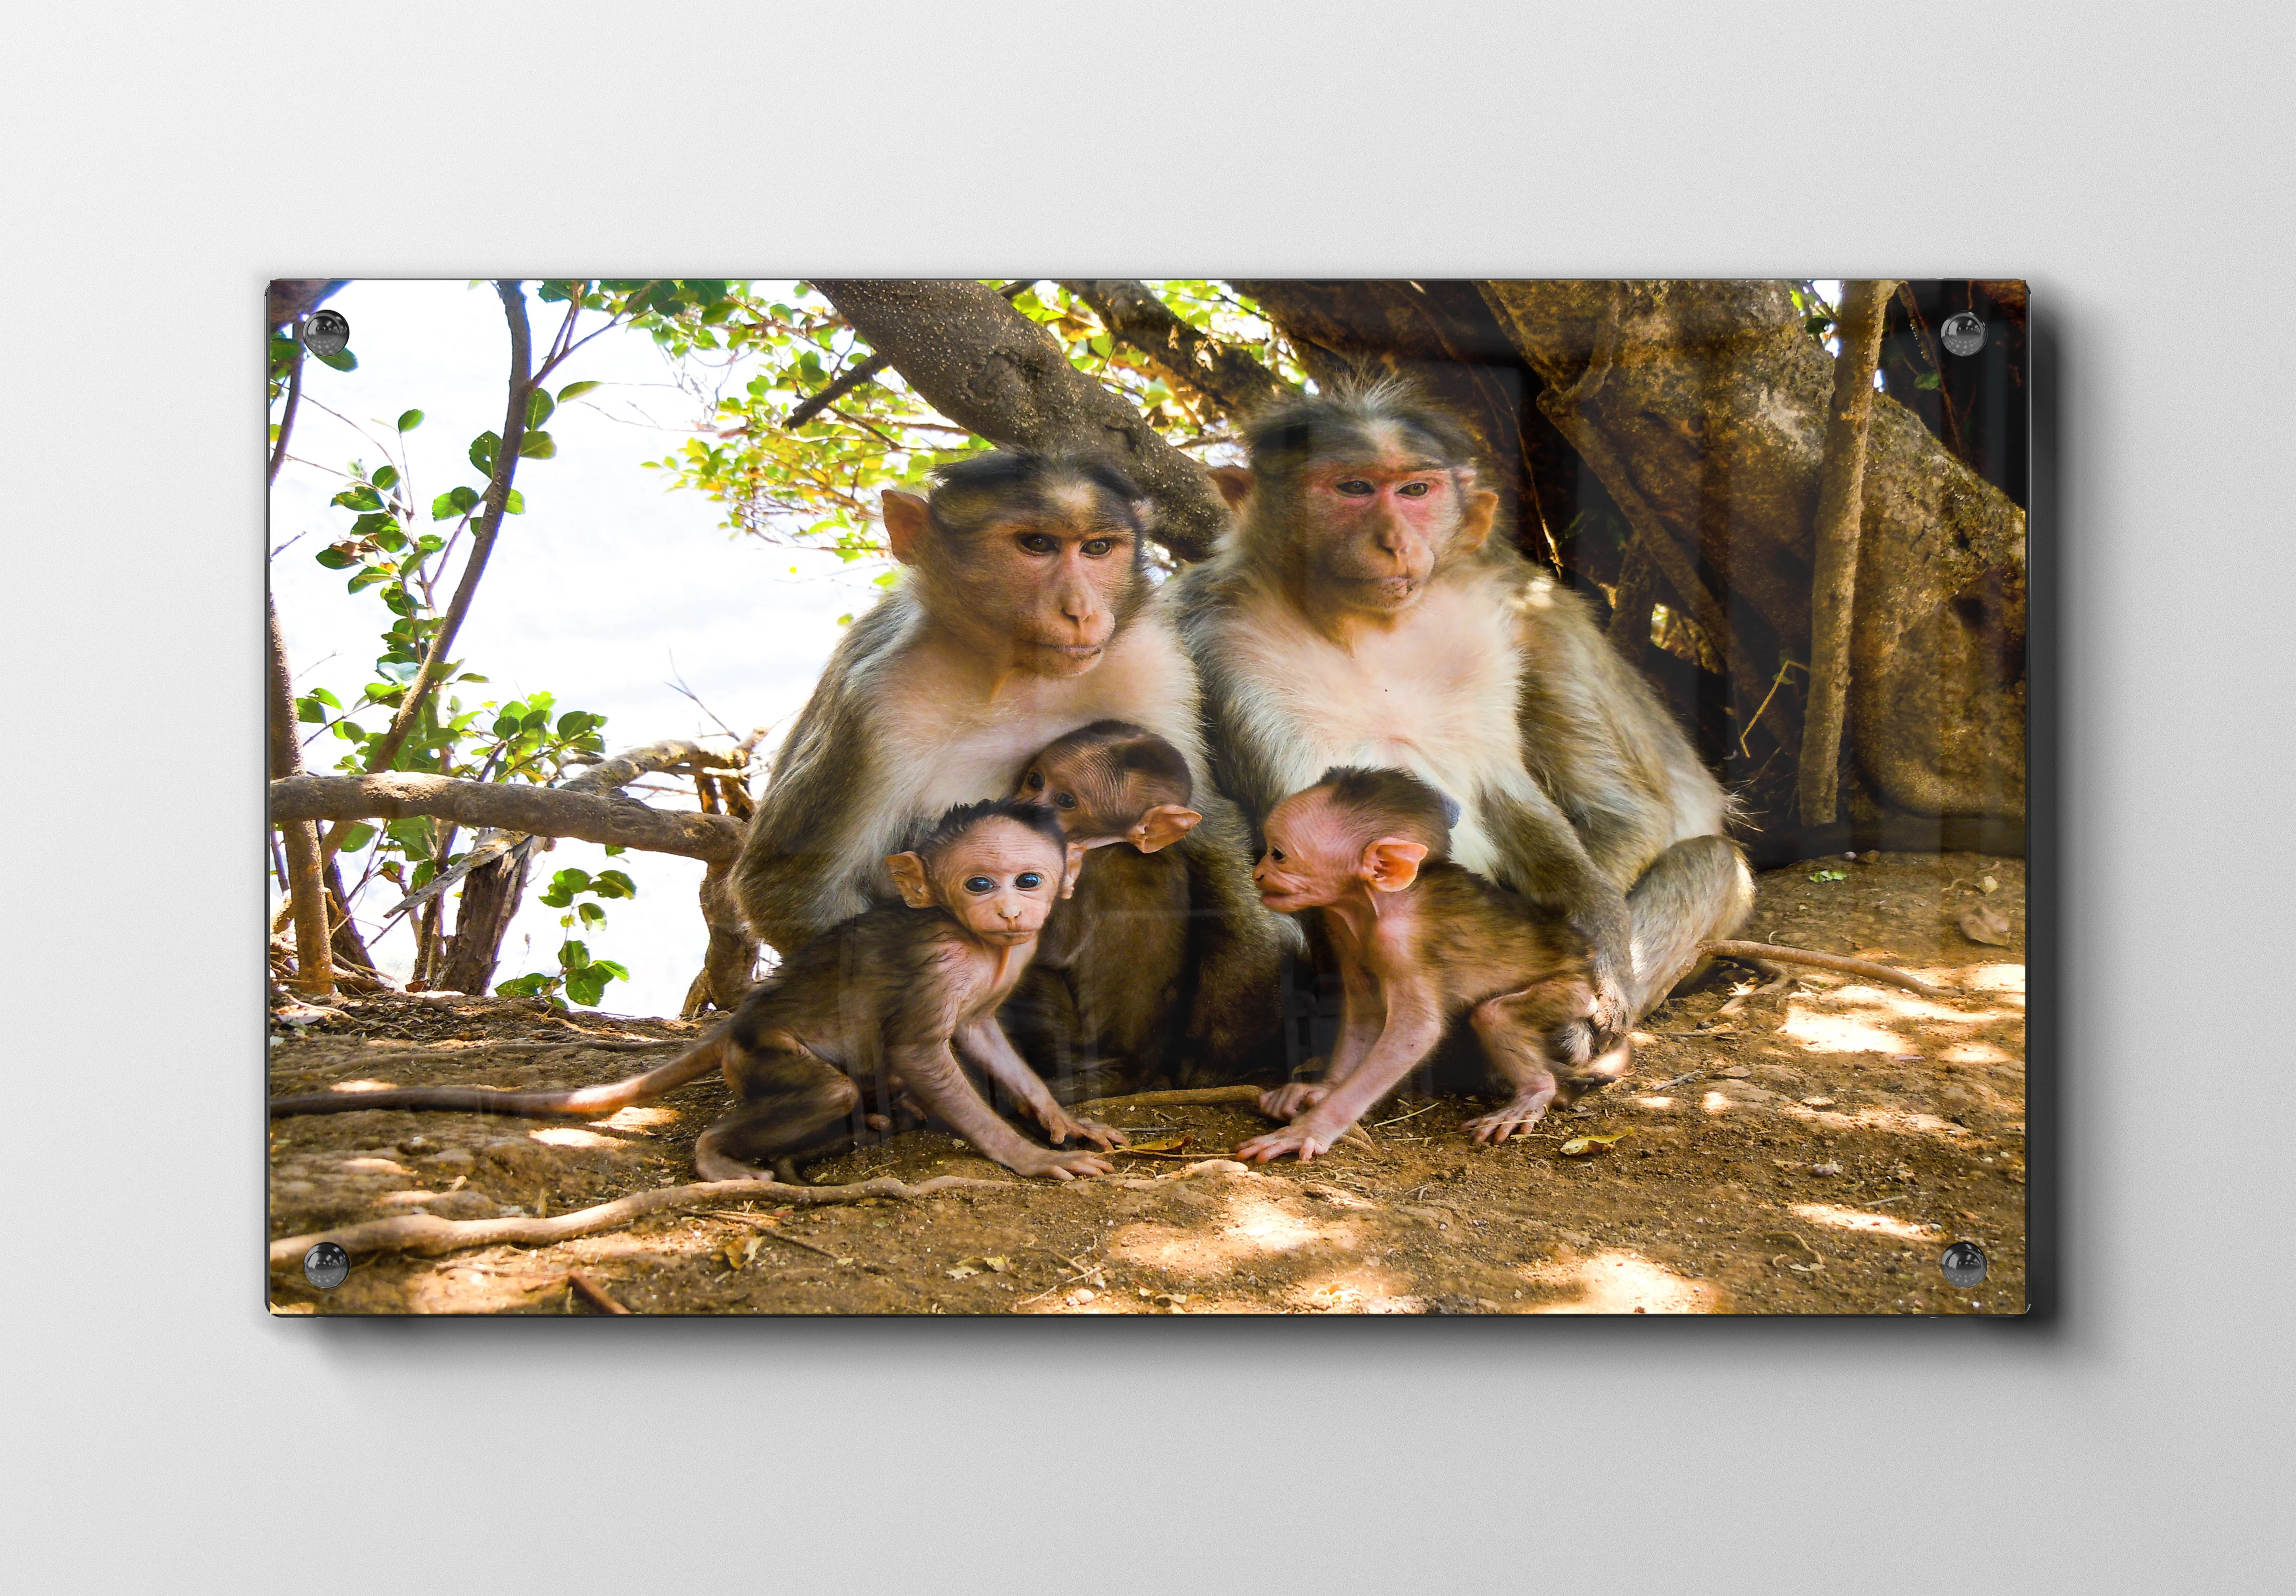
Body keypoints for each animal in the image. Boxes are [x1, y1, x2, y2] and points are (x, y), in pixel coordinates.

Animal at [272, 801, 1127, 1183]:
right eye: (979, 881)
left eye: (1029, 879)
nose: (1010, 910)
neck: (978, 941)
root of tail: (743, 1016)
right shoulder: (940, 962)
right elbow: (923, 1051)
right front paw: (1024, 1154)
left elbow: (983, 1038)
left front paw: (1060, 1121)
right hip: (760, 1056)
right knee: (821, 1089)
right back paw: (720, 1154)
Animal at [998, 720, 1204, 1093]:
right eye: (1035, 780)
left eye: (1065, 801)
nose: (1027, 811)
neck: (1117, 843)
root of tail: (1133, 1071)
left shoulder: (1079, 872)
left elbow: (1050, 951)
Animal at [1175, 382, 1754, 1047]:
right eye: (1352, 488)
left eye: (1415, 490)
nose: (1395, 541)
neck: (1368, 630)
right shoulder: (1222, 640)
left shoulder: (1506, 623)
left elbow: (1529, 798)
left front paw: (1598, 959)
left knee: (1712, 861)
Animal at [1233, 767, 1622, 1165]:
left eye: (1279, 854)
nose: (1258, 872)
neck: (1378, 903)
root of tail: (1586, 963)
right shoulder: (1340, 924)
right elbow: (1364, 1012)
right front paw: (1321, 1090)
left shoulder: (1402, 943)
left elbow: (1416, 1032)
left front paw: (1311, 1128)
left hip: (1570, 991)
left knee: (1496, 1015)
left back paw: (1535, 1093)